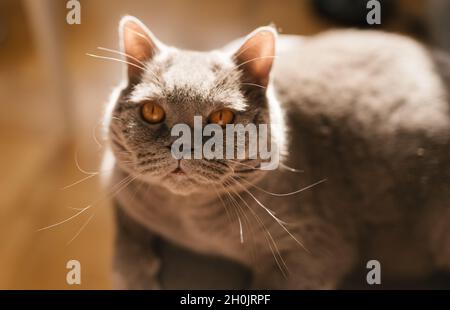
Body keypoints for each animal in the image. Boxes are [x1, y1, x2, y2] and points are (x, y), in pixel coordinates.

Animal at [102, 15, 450, 290]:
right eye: (152, 111)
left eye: (222, 117)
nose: (181, 145)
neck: (189, 225)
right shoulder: (117, 185)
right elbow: (126, 238)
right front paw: (138, 275)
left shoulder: (315, 249)